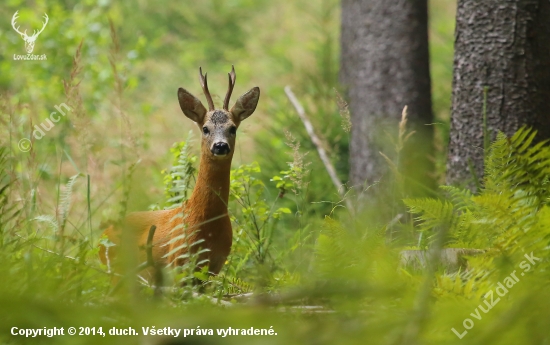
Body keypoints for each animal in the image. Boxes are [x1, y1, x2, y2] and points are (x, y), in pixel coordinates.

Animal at [99, 65, 260, 280]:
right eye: (205, 128)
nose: (220, 146)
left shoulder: (214, 268)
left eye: (233, 128)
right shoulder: (178, 264)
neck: (206, 225)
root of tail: (103, 236)